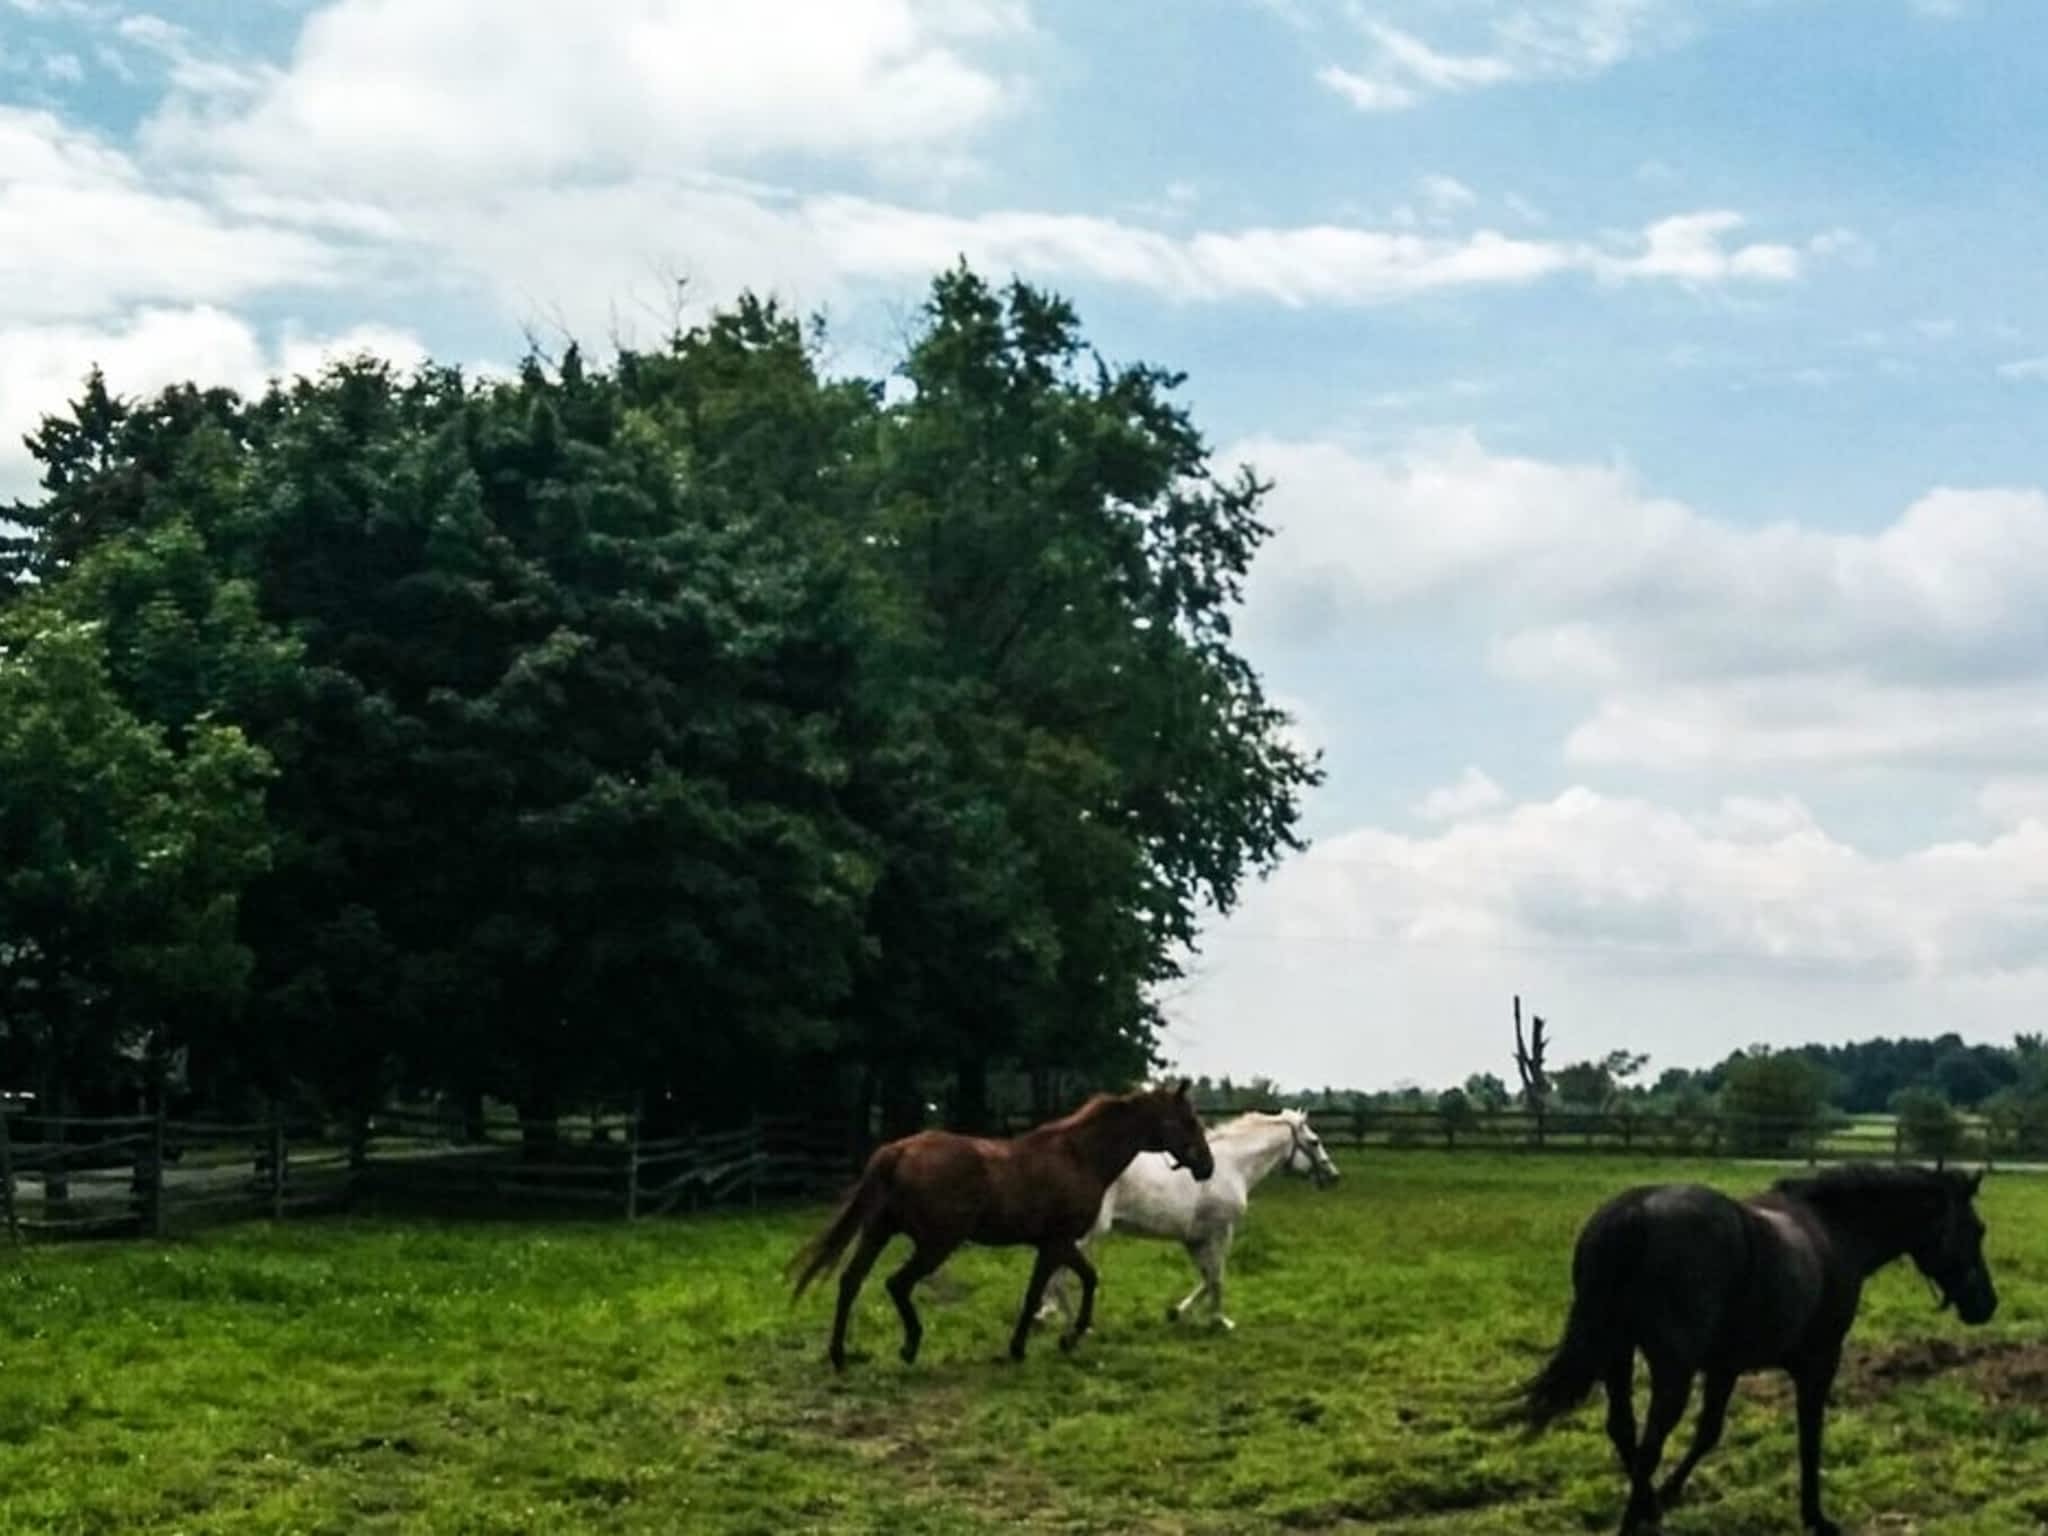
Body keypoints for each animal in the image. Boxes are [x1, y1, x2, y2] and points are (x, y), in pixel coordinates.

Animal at [786, 1081, 1212, 1368]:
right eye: (1189, 1120)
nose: (1207, 1166)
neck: (1080, 1157)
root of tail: (899, 1150)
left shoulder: (1055, 1244)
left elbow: (1079, 1281)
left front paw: (1058, 1340)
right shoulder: (1056, 1243)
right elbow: (1046, 1291)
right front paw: (1035, 1344)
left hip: (879, 1232)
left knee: (851, 1281)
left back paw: (839, 1355)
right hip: (936, 1244)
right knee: (896, 1283)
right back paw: (909, 1346)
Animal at [1040, 1105, 1343, 1335]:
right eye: (1315, 1141)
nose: (1333, 1176)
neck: (1233, 1165)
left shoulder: (1193, 1238)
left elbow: (1207, 1278)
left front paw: (1176, 1312)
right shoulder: (1221, 1232)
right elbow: (1217, 1278)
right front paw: (1220, 1321)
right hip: (1088, 1234)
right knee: (1059, 1278)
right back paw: (1075, 1326)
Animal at [1515, 1163, 1990, 1536]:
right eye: (1977, 1229)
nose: (1987, 1303)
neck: (1835, 1230)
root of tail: (1634, 1212)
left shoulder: (1725, 1366)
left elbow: (1708, 1433)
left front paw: (1667, 1497)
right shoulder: (1819, 1362)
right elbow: (1810, 1435)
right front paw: (1815, 1516)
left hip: (1618, 1352)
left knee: (1623, 1430)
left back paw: (1648, 1506)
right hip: (1671, 1370)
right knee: (1649, 1443)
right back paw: (1637, 1519)